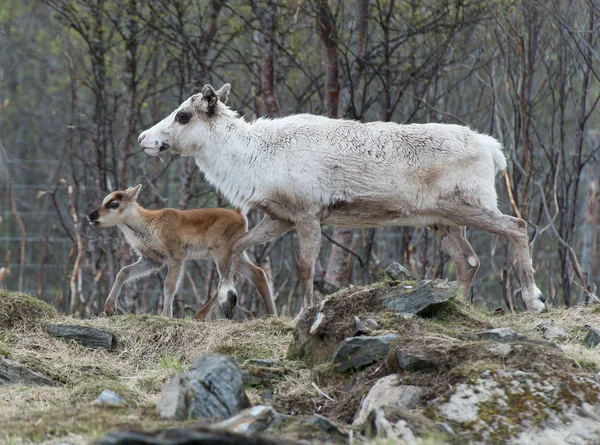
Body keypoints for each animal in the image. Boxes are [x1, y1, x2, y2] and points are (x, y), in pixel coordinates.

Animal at [86, 185, 276, 320]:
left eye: (113, 204)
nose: (91, 216)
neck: (149, 224)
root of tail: (240, 214)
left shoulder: (176, 257)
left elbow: (169, 285)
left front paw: (165, 315)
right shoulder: (153, 259)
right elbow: (123, 271)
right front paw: (109, 309)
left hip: (222, 253)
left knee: (231, 278)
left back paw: (200, 315)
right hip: (237, 253)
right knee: (258, 272)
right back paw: (271, 315)